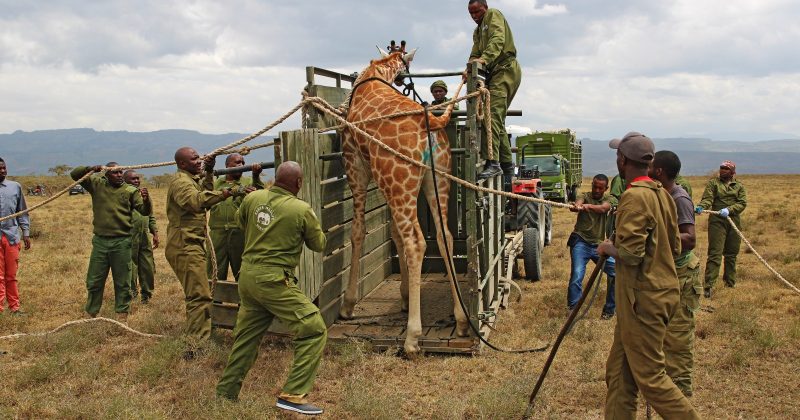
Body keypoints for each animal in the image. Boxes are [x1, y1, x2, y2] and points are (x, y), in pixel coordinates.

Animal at [338, 47, 469, 355]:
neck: (372, 76)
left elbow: (358, 231)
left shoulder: (356, 163)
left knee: (416, 242)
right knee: (444, 236)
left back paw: (412, 338)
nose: (402, 79)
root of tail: (433, 123)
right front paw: (405, 296)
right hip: (436, 178)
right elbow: (394, 234)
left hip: (398, 178)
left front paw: (347, 305)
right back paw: (460, 320)